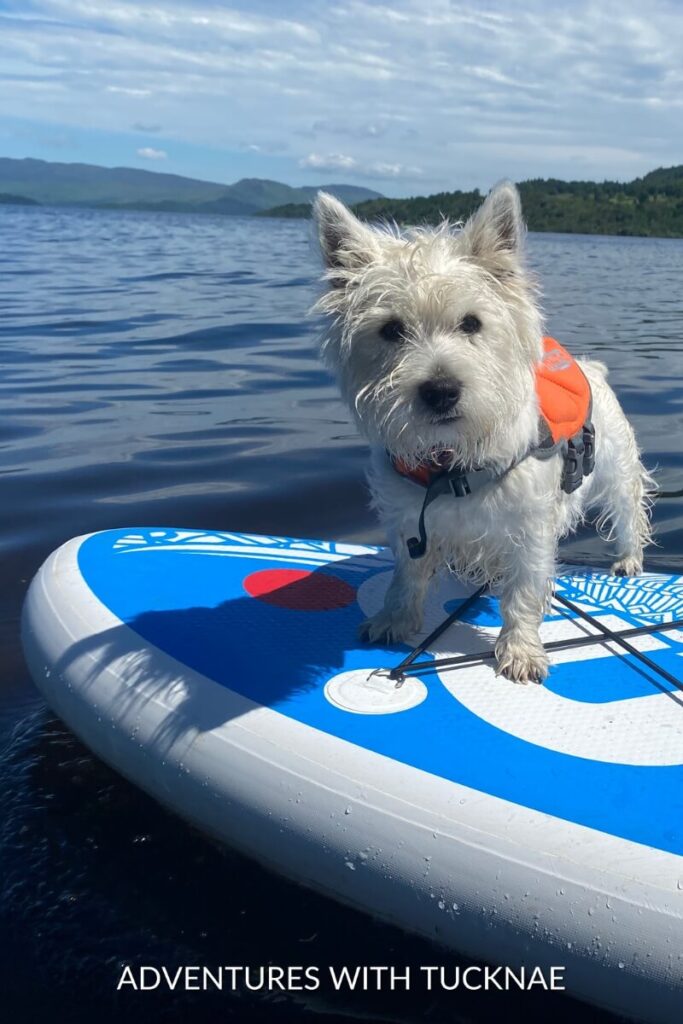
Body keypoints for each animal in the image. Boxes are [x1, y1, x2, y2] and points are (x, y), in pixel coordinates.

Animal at [313, 184, 651, 679]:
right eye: (391, 329)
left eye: (471, 322)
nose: (440, 391)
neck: (452, 463)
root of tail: (592, 368)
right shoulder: (408, 520)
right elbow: (406, 576)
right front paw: (394, 619)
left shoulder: (530, 526)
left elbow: (524, 590)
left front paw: (521, 650)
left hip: (616, 470)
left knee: (628, 512)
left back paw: (628, 559)